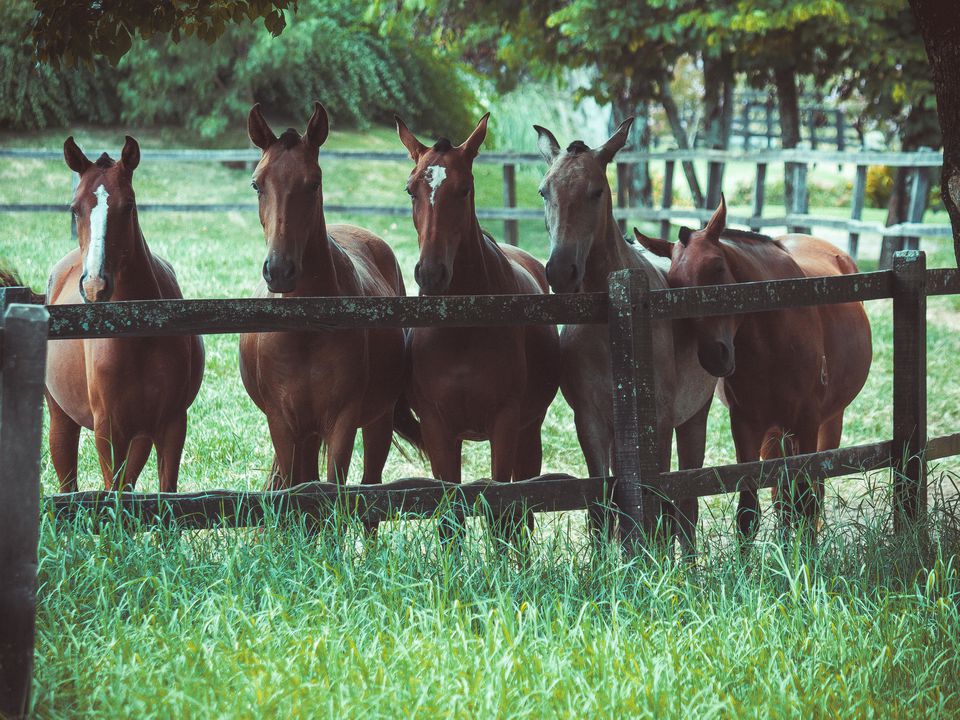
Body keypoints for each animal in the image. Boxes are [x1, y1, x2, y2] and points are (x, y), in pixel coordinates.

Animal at [45, 135, 206, 492]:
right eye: (74, 208)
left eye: (129, 205)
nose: (94, 285)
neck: (139, 330)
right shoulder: (108, 430)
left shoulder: (171, 424)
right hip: (62, 419)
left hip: (140, 435)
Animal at [238, 104, 410, 492]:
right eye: (257, 184)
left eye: (313, 183)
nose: (280, 270)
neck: (306, 329)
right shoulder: (283, 424)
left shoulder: (342, 423)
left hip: (377, 421)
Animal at [396, 112, 560, 540]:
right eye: (410, 190)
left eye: (465, 188)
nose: (431, 273)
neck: (462, 329)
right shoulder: (437, 428)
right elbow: (449, 518)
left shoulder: (505, 423)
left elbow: (503, 513)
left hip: (528, 432)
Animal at [536, 122, 716, 552]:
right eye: (544, 191)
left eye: (597, 191)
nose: (561, 272)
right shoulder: (590, 420)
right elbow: (602, 505)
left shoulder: (660, 421)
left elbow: (661, 505)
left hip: (694, 418)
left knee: (686, 504)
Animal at [632, 197, 872, 540]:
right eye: (674, 285)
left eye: (718, 268)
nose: (713, 356)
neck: (774, 337)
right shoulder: (747, 425)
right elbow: (749, 512)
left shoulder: (807, 422)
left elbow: (805, 502)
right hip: (775, 433)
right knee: (782, 496)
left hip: (828, 422)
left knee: (812, 492)